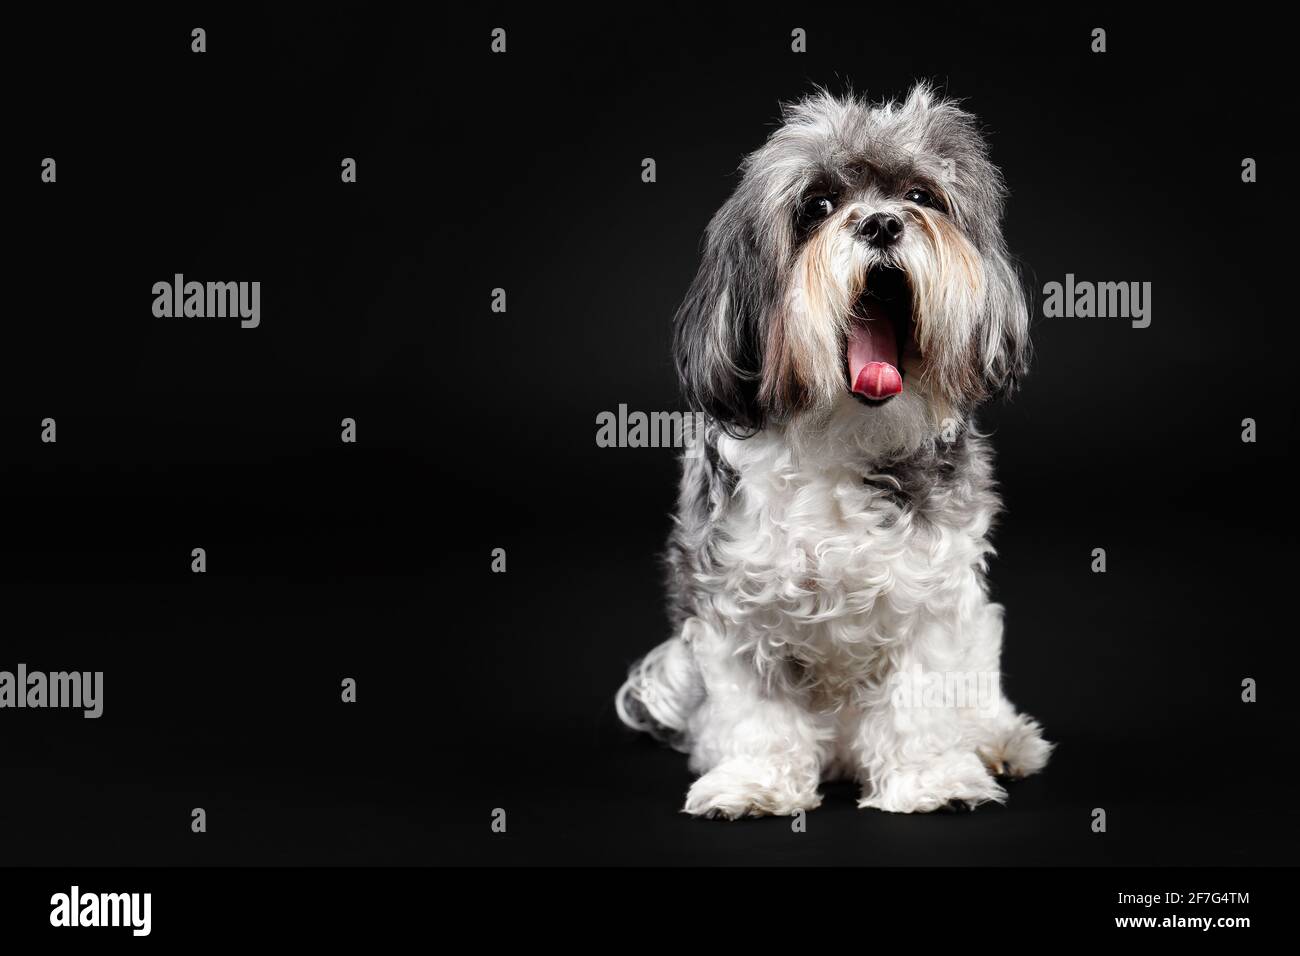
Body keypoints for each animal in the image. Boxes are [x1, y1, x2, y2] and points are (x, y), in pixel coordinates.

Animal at [613, 83, 1050, 816]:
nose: (881, 224)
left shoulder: (935, 601)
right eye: (816, 207)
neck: (841, 441)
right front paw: (755, 782)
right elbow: (758, 709)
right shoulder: (732, 605)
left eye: (921, 195)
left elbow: (922, 694)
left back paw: (1001, 741)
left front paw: (930, 781)